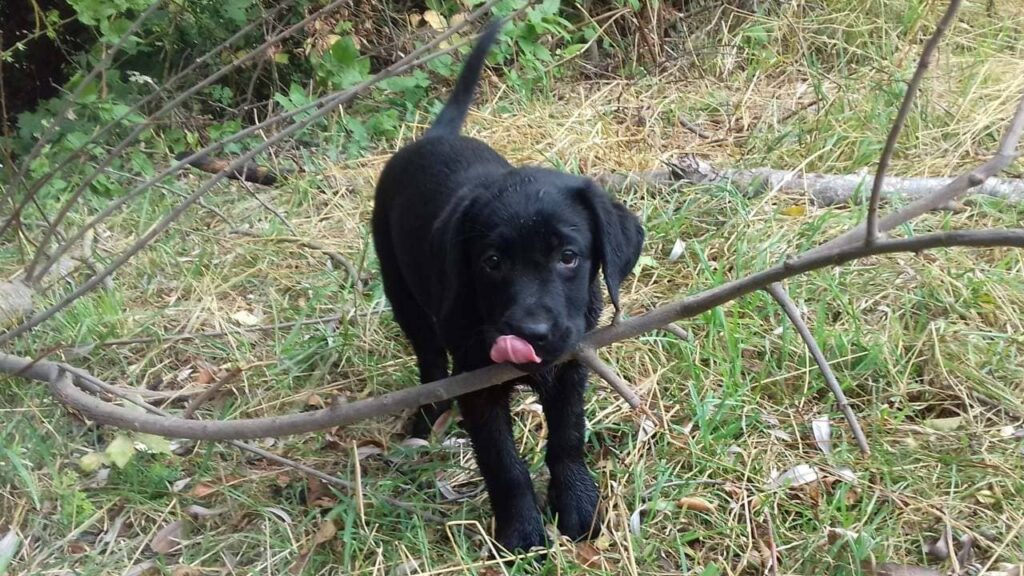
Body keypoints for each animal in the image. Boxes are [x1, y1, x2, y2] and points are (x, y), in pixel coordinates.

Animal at [372, 20, 643, 549]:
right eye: (492, 262)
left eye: (568, 257)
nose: (530, 333)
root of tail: (432, 137)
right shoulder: (478, 384)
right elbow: (503, 463)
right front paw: (521, 532)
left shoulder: (571, 363)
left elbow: (567, 438)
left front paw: (577, 505)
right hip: (402, 293)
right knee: (429, 360)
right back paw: (426, 417)